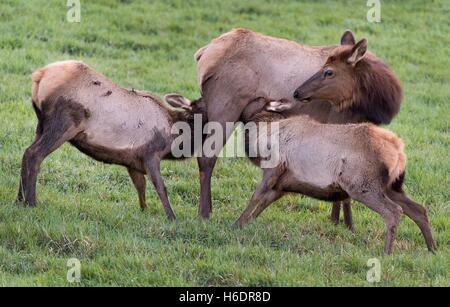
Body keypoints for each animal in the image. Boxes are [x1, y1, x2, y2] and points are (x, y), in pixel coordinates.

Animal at [16, 60, 207, 220]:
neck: (172, 137)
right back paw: (31, 202)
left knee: (25, 153)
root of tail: (39, 76)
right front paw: (172, 218)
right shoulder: (151, 153)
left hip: (41, 124)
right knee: (34, 154)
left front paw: (145, 211)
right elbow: (160, 186)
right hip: (63, 124)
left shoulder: (133, 161)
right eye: (198, 115)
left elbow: (141, 186)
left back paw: (18, 200)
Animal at [195, 27, 402, 229]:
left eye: (328, 72)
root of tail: (204, 53)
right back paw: (204, 213)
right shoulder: (340, 120)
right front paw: (346, 224)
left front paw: (337, 221)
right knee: (206, 157)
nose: (297, 93)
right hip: (225, 107)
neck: (374, 104)